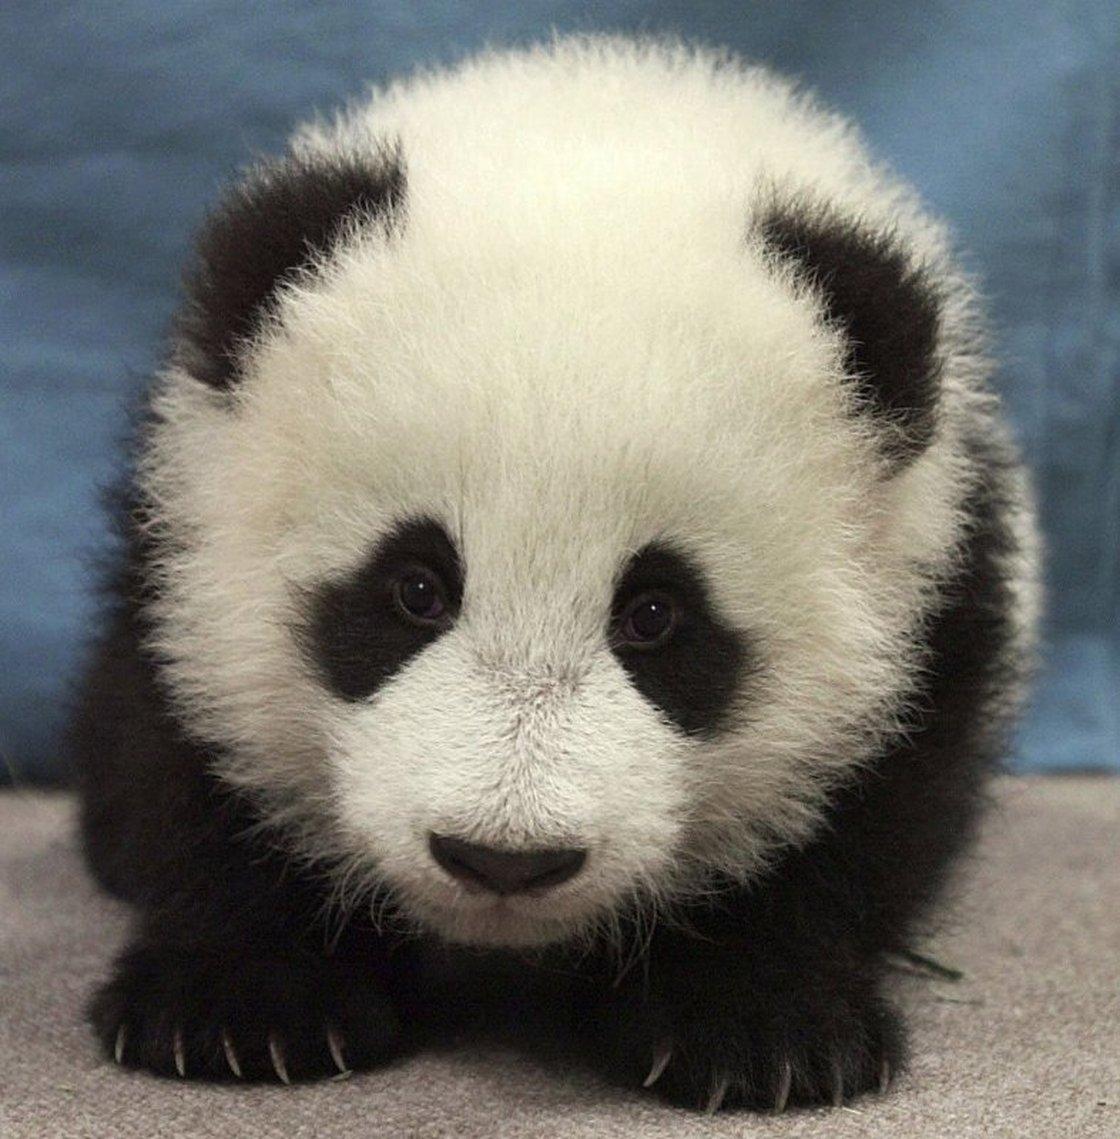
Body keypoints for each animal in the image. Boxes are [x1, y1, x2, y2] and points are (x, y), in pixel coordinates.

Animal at [71, 35, 1039, 1113]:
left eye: (656, 613)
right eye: (414, 589)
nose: (503, 859)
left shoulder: (937, 576)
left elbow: (868, 808)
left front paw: (755, 1023)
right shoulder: (181, 535)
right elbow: (191, 753)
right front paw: (244, 1003)